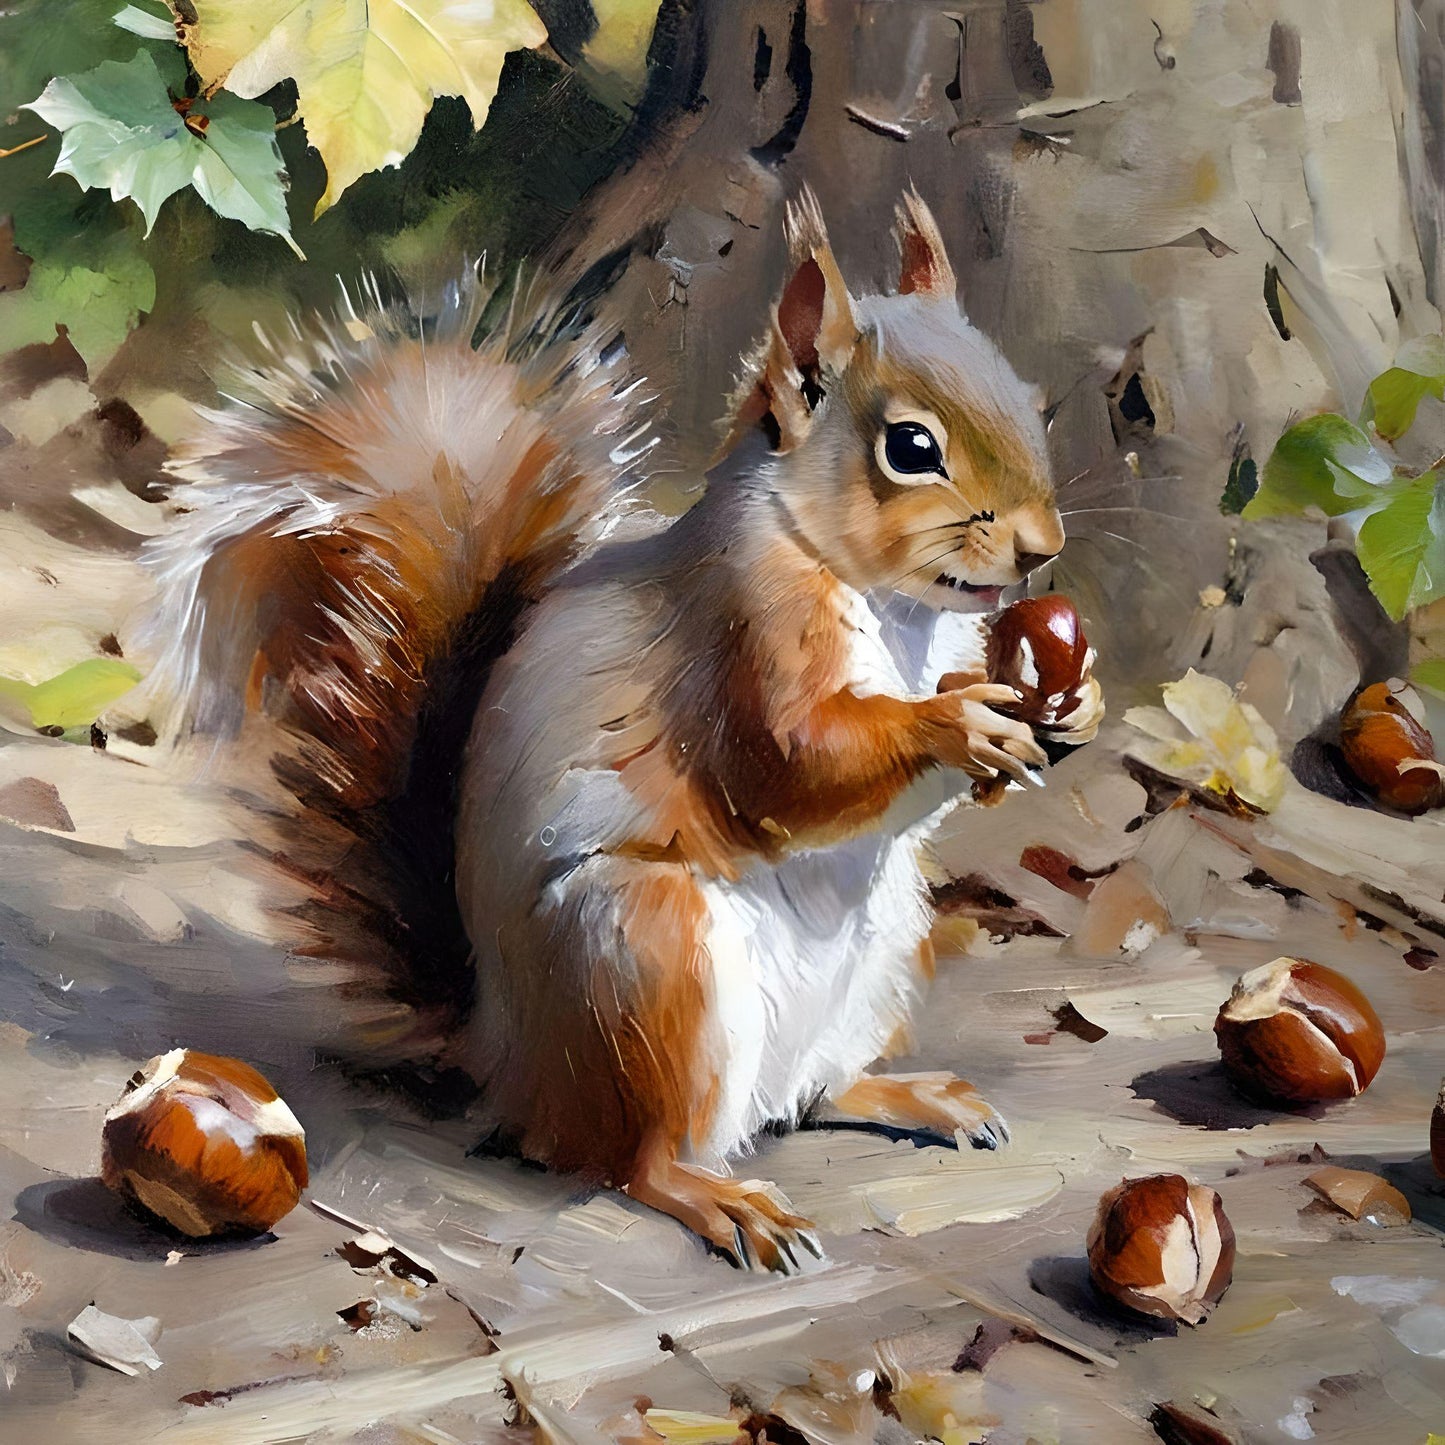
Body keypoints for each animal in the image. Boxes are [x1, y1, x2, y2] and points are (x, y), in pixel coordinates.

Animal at [143, 190, 1102, 1272]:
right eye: (909, 447)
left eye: (1031, 401)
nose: (1041, 549)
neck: (890, 603)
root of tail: (505, 1057)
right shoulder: (739, 636)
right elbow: (791, 767)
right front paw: (955, 721)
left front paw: (1072, 703)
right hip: (643, 955)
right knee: (630, 1157)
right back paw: (719, 1197)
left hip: (883, 947)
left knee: (810, 1096)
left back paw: (910, 1094)